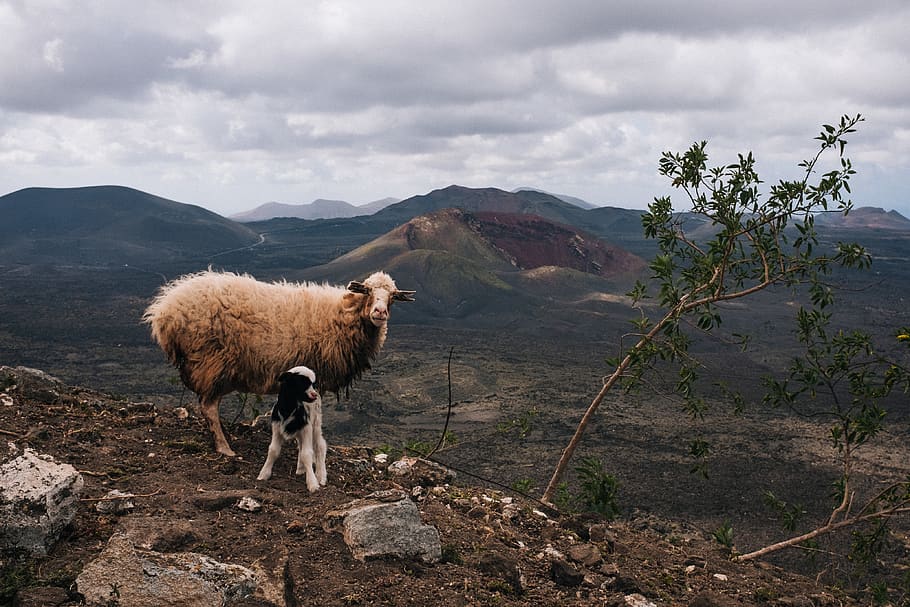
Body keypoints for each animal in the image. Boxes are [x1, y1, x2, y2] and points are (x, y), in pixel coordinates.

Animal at [142, 269, 415, 456]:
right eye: (367, 291)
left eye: (392, 297)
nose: (380, 312)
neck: (343, 314)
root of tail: (165, 311)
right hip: (212, 361)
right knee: (208, 407)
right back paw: (224, 447)